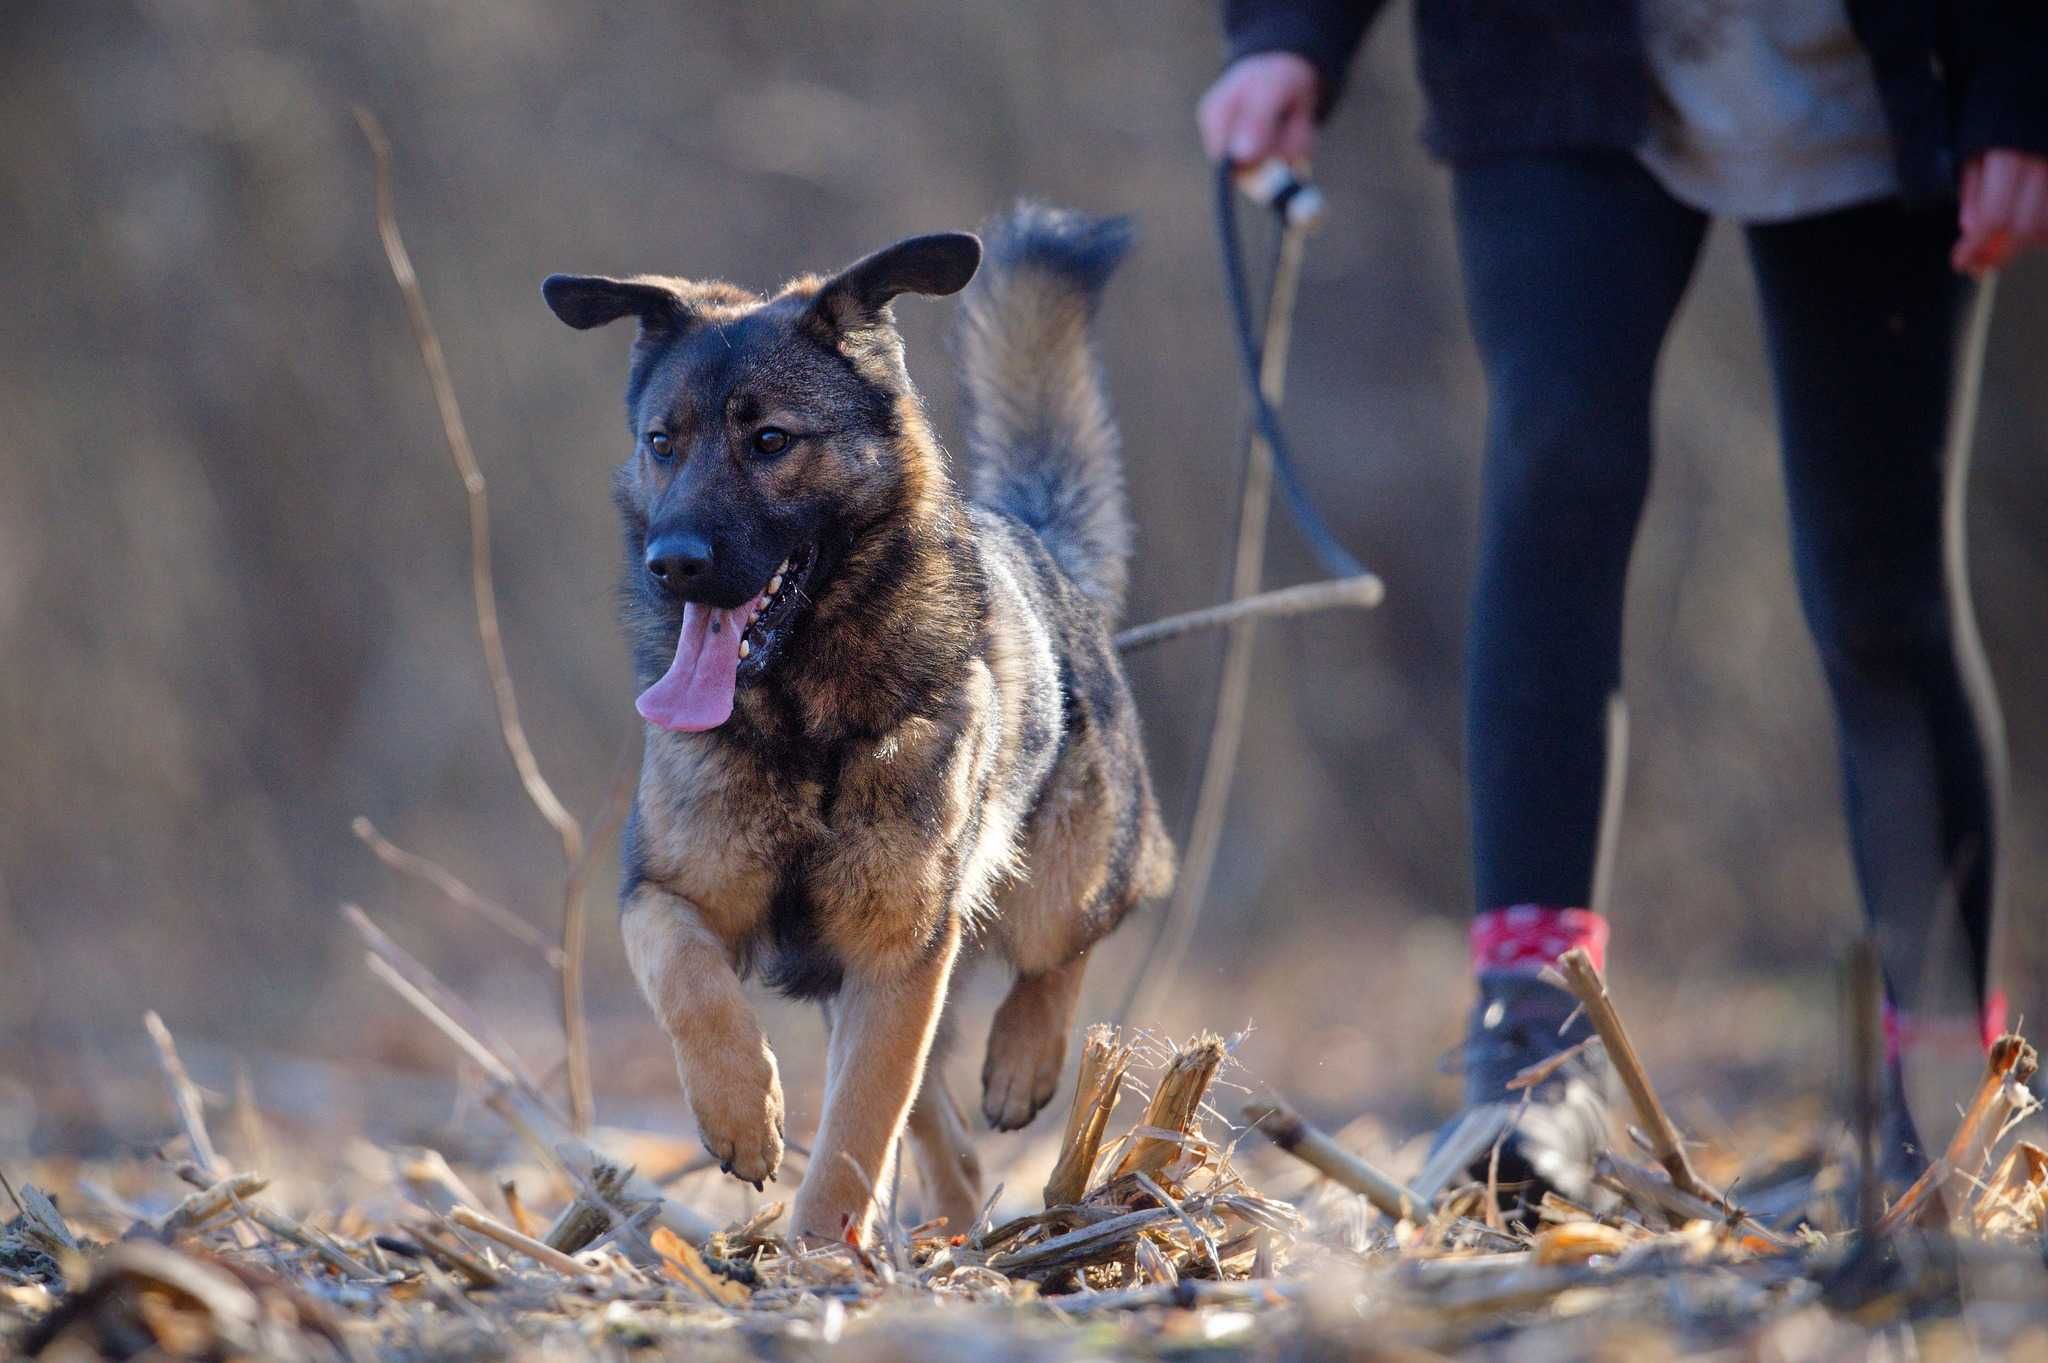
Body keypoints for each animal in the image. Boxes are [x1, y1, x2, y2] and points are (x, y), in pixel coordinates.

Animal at [544, 204, 1179, 1244]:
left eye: (769, 439)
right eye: (662, 440)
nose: (671, 563)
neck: (802, 725)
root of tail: (1044, 545)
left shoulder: (898, 947)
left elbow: (857, 1125)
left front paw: (816, 1250)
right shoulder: (668, 892)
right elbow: (692, 982)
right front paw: (741, 1111)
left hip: (1057, 881)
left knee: (1078, 932)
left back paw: (1025, 1059)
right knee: (947, 1135)